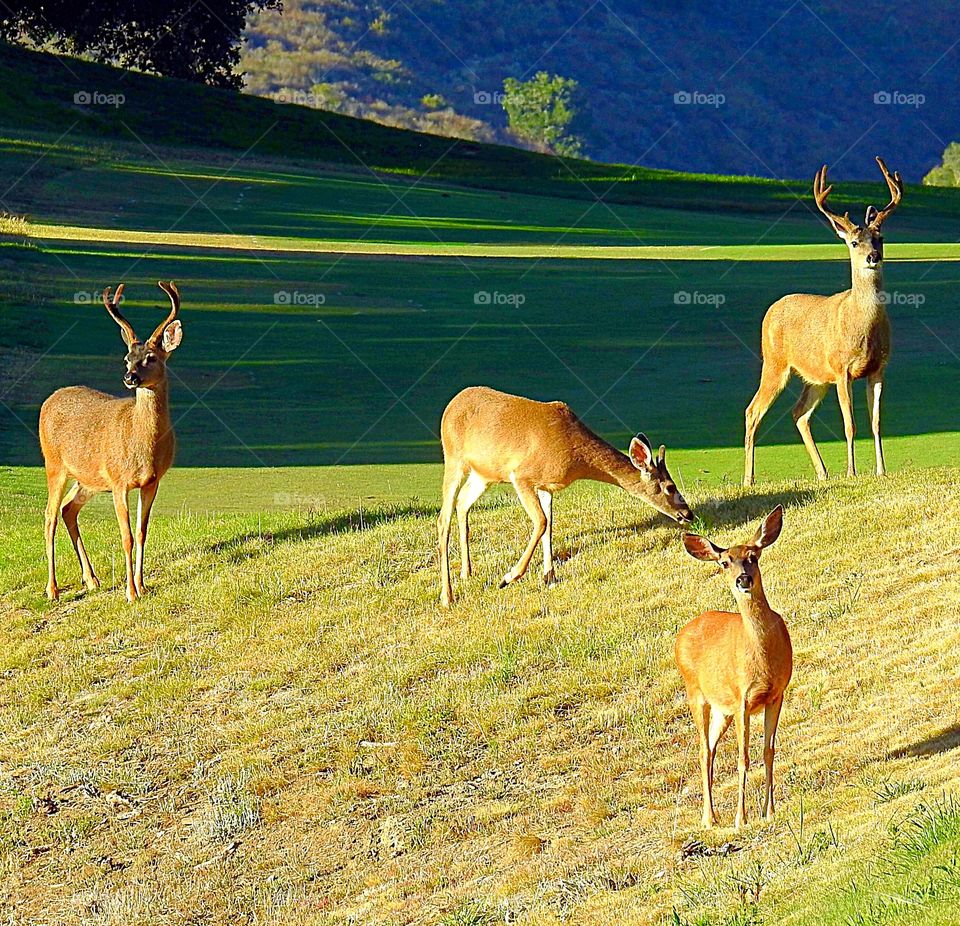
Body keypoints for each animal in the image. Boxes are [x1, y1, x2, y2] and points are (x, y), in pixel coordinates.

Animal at [38, 281, 183, 603]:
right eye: (127, 358)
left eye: (151, 358)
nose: (130, 377)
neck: (143, 445)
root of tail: (49, 399)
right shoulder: (118, 481)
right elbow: (126, 536)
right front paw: (130, 592)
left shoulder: (153, 481)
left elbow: (142, 532)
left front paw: (143, 585)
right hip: (54, 464)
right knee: (50, 516)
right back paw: (52, 589)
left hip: (88, 479)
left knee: (68, 510)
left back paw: (91, 579)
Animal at [438, 386, 693, 607]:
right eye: (670, 487)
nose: (688, 514)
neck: (575, 454)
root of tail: (451, 405)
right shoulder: (521, 475)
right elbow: (541, 522)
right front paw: (509, 577)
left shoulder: (547, 485)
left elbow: (549, 525)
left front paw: (549, 577)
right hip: (453, 458)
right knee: (443, 519)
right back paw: (447, 597)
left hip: (484, 474)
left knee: (462, 503)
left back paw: (467, 572)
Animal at [675, 506, 791, 830]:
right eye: (725, 562)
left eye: (753, 555)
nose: (743, 579)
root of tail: (682, 633)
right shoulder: (742, 699)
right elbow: (743, 757)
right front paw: (741, 818)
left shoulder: (777, 694)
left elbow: (768, 751)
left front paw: (769, 811)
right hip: (696, 693)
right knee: (703, 750)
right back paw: (709, 818)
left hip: (721, 709)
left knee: (711, 748)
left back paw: (713, 815)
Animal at [743, 157, 902, 486]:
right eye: (854, 242)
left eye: (880, 238)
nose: (873, 256)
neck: (862, 326)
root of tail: (770, 310)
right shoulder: (842, 368)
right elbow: (850, 424)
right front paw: (852, 472)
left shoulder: (879, 368)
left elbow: (876, 422)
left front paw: (881, 471)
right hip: (775, 362)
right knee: (753, 411)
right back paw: (748, 480)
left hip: (815, 378)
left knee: (799, 413)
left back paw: (823, 473)